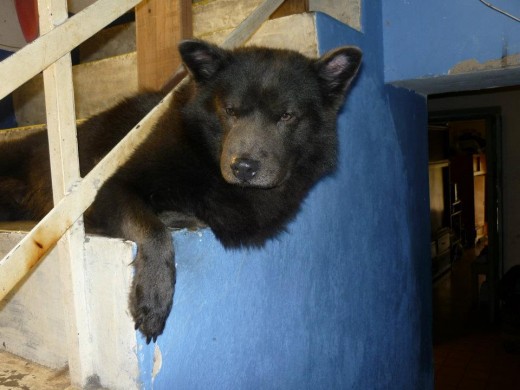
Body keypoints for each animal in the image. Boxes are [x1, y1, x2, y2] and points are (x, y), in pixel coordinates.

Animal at [0, 40, 362, 342]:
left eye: (287, 116)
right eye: (230, 110)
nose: (243, 167)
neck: (204, 155)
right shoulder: (110, 189)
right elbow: (154, 231)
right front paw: (154, 296)